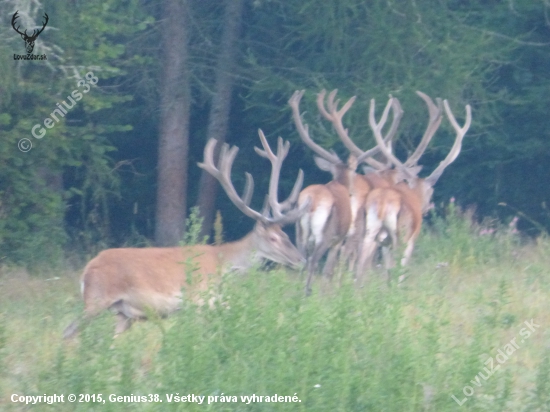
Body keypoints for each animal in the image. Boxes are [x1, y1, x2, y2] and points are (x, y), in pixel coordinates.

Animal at [63, 131, 310, 338]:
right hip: (97, 299)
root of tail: (87, 270)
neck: (224, 265)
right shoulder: (199, 300)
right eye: (273, 238)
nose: (301, 260)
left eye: (286, 235)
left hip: (122, 313)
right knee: (69, 331)